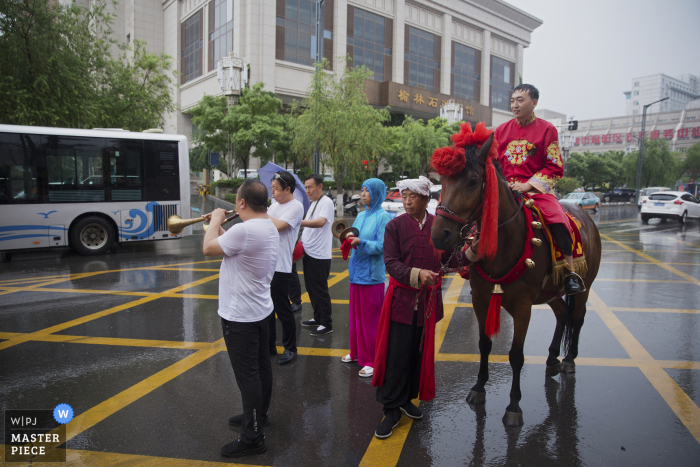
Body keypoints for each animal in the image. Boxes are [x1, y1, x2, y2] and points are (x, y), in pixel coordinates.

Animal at [432, 132, 600, 428]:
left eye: (472, 181)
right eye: (442, 180)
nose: (439, 235)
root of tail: (587, 218)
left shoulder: (522, 307)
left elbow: (516, 355)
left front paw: (514, 405)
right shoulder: (480, 299)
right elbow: (484, 344)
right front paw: (479, 388)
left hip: (584, 287)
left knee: (577, 317)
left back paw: (568, 359)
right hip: (550, 292)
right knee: (562, 314)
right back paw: (552, 359)